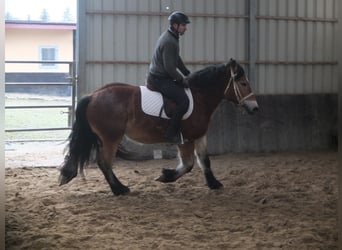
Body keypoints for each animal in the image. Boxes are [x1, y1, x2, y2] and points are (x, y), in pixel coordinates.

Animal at [58, 58, 258, 195]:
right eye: (243, 83)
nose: (255, 108)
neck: (200, 96)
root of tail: (93, 95)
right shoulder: (185, 139)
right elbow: (188, 164)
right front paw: (166, 176)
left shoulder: (199, 135)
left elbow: (204, 161)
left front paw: (214, 183)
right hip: (111, 138)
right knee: (104, 162)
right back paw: (120, 189)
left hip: (103, 138)